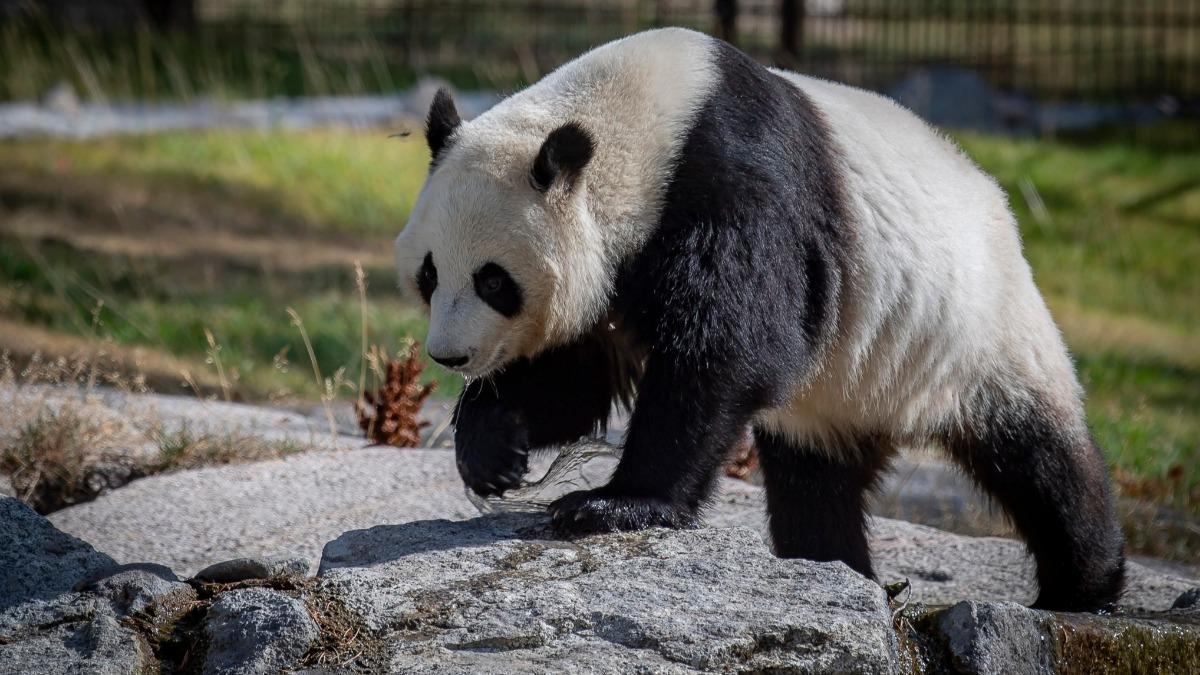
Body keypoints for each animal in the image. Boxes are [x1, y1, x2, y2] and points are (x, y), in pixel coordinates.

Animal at [393, 27, 1123, 610]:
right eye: (430, 274)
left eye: (494, 280)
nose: (450, 356)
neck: (639, 127)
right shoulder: (616, 266)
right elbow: (578, 379)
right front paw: (492, 450)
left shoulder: (733, 185)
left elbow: (729, 350)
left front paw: (613, 504)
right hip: (837, 391)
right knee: (814, 481)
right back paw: (834, 566)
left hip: (977, 324)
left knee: (1041, 459)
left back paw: (1085, 587)